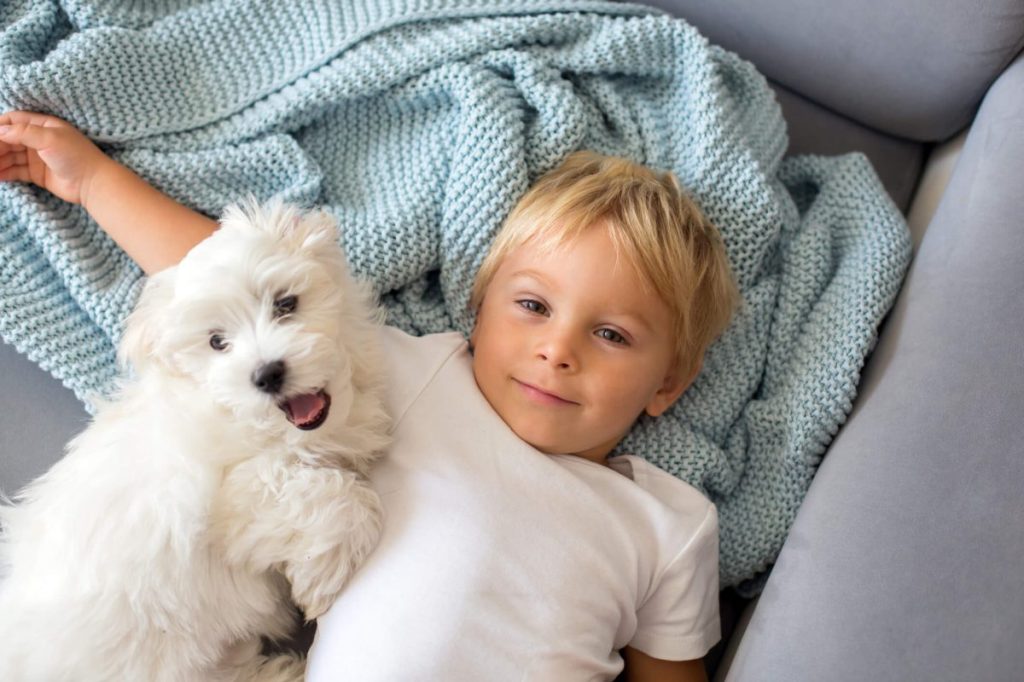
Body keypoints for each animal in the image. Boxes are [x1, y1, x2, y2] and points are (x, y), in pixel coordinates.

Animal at [0, 199, 391, 675]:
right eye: (217, 342)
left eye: (285, 304)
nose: (267, 374)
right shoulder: (234, 499)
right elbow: (325, 493)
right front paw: (322, 580)